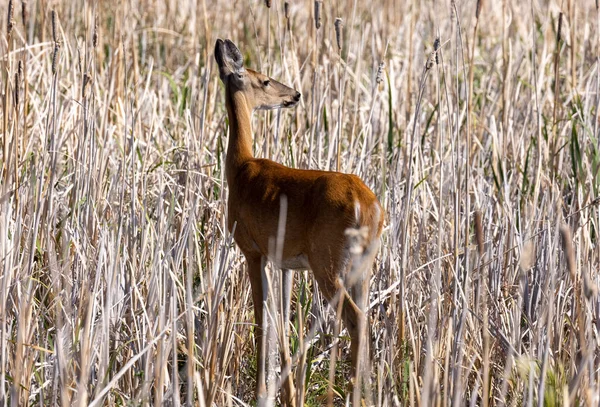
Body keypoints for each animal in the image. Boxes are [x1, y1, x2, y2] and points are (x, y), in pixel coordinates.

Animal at [214, 39, 384, 407]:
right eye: (264, 80)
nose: (294, 94)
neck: (241, 167)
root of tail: (368, 205)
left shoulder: (252, 249)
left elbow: (262, 319)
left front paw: (262, 392)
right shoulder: (286, 263)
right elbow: (282, 320)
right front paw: (289, 392)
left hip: (328, 262)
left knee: (354, 319)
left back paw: (352, 392)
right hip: (362, 266)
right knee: (365, 318)